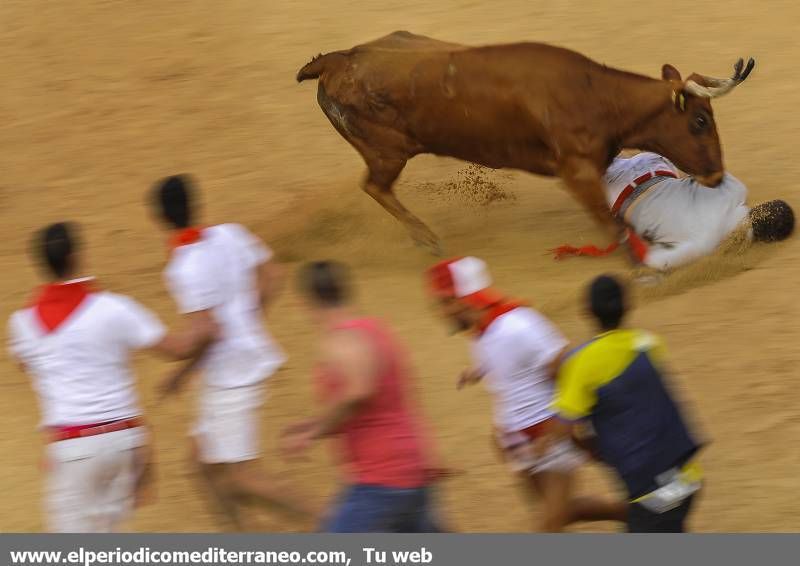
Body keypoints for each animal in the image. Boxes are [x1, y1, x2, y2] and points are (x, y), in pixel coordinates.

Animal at [296, 28, 752, 255]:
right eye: (698, 120)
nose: (716, 175)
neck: (596, 96)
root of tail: (337, 60)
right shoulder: (576, 172)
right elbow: (614, 227)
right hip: (388, 153)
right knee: (374, 186)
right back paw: (427, 239)